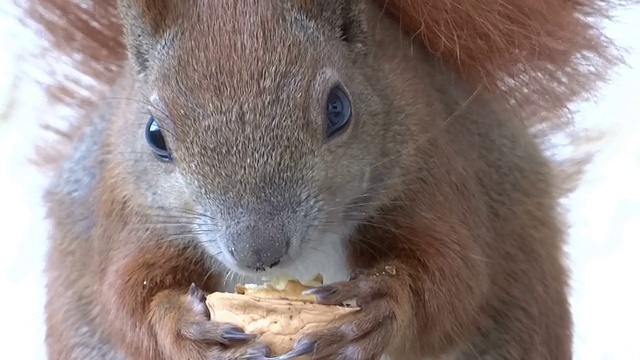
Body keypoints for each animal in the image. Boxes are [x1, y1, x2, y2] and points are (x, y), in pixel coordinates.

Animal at [17, 0, 628, 358]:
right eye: (154, 136)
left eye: (339, 108)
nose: (258, 253)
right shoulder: (126, 210)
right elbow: (125, 295)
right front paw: (180, 325)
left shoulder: (431, 167)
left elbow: (454, 276)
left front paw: (382, 307)